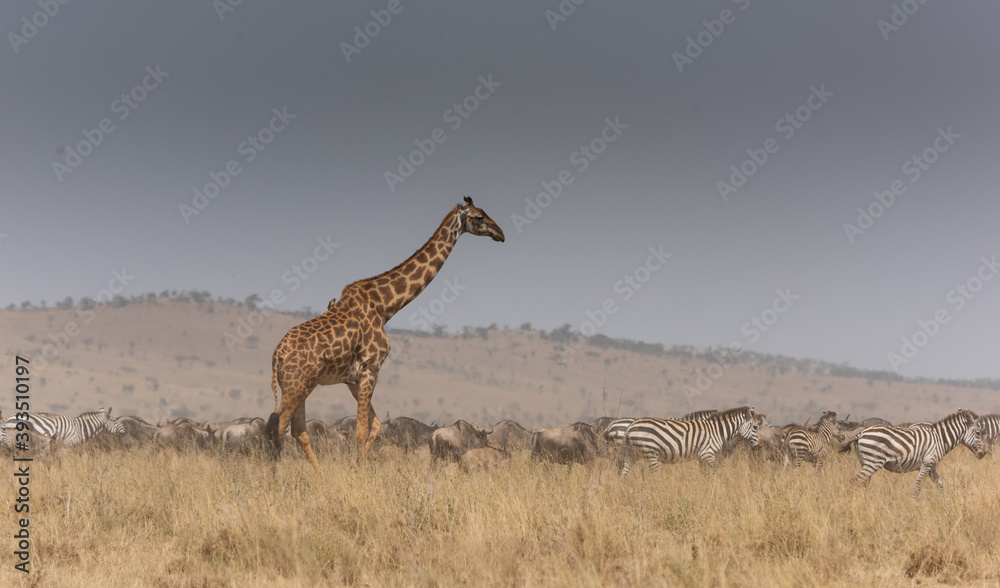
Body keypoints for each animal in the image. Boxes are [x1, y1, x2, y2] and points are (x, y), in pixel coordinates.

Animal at [265, 197, 505, 468]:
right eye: (479, 217)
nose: (500, 233)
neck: (384, 306)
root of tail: (277, 355)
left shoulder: (353, 378)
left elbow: (376, 426)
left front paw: (359, 465)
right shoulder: (371, 367)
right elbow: (361, 429)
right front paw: (361, 471)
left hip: (302, 385)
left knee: (296, 429)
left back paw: (319, 473)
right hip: (296, 385)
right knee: (278, 427)